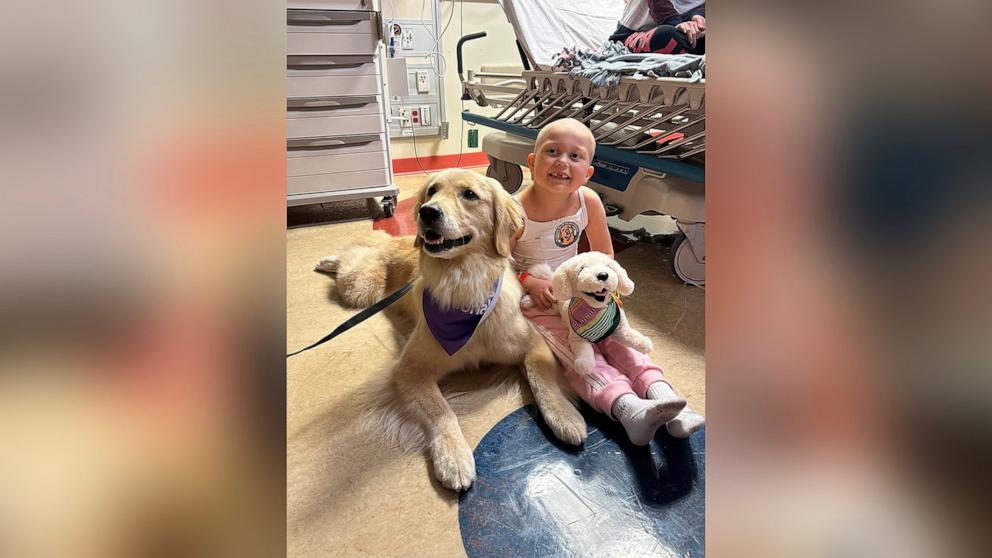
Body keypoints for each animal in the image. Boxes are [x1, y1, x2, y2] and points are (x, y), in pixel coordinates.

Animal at [318, 168, 584, 492]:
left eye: (469, 194)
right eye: (432, 190)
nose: (427, 211)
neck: (465, 284)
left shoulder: (532, 343)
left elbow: (542, 380)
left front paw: (565, 416)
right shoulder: (410, 368)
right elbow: (441, 411)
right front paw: (453, 458)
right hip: (362, 286)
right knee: (357, 250)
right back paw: (329, 260)